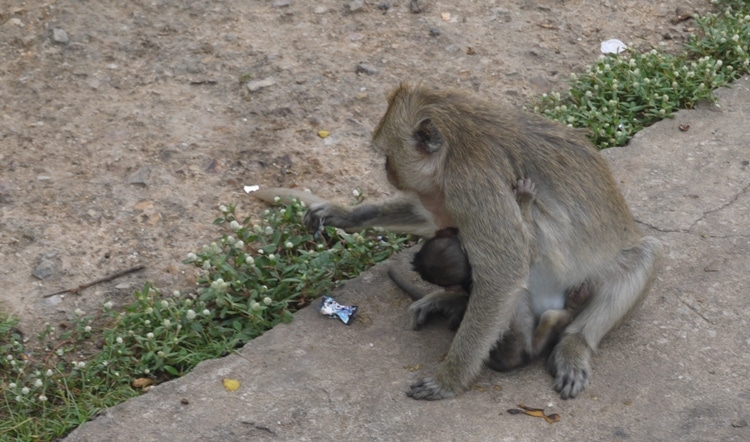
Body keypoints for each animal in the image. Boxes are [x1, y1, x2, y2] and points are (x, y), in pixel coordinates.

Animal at [262, 83, 656, 400]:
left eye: (388, 156)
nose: (387, 171)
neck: (460, 137)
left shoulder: (469, 187)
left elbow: (504, 271)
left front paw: (450, 379)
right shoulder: (445, 196)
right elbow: (431, 220)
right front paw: (344, 213)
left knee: (644, 257)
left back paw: (573, 343)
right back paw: (452, 301)